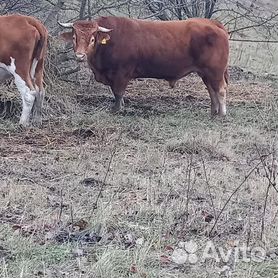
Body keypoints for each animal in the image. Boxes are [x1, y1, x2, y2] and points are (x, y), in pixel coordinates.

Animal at [59, 15, 229, 115]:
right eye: (74, 37)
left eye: (92, 39)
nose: (80, 55)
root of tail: (211, 22)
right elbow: (116, 93)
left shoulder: (121, 74)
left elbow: (118, 93)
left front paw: (116, 109)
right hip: (206, 73)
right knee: (211, 90)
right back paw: (213, 112)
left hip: (215, 72)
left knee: (220, 90)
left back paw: (221, 114)